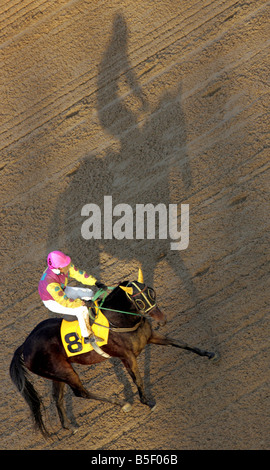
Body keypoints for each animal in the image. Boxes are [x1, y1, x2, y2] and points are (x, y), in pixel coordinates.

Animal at [9, 272, 219, 436]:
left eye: (152, 291)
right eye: (139, 300)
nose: (162, 319)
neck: (118, 320)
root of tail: (23, 346)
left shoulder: (151, 336)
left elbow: (180, 343)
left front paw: (209, 353)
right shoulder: (127, 357)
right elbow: (138, 379)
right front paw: (148, 402)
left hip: (57, 374)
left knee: (57, 398)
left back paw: (70, 427)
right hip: (64, 371)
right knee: (80, 392)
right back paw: (122, 404)